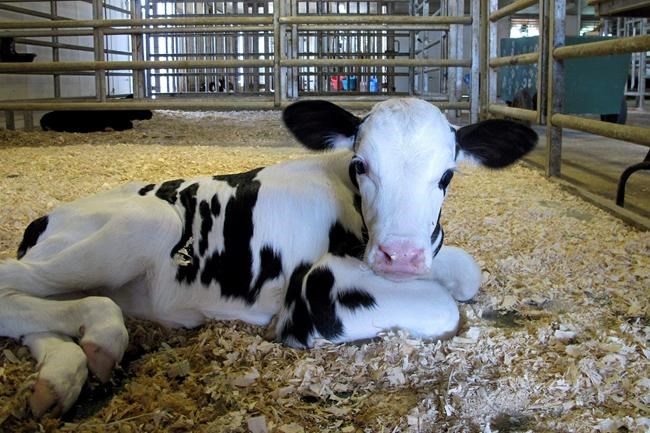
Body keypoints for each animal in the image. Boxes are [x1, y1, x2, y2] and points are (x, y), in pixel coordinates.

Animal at [0, 98, 537, 418]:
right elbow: (442, 305)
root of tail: (45, 217)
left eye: (447, 174)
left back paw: (60, 376)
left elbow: (466, 272)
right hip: (147, 222)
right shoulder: (319, 279)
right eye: (361, 165)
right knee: (15, 282)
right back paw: (100, 336)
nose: (400, 256)